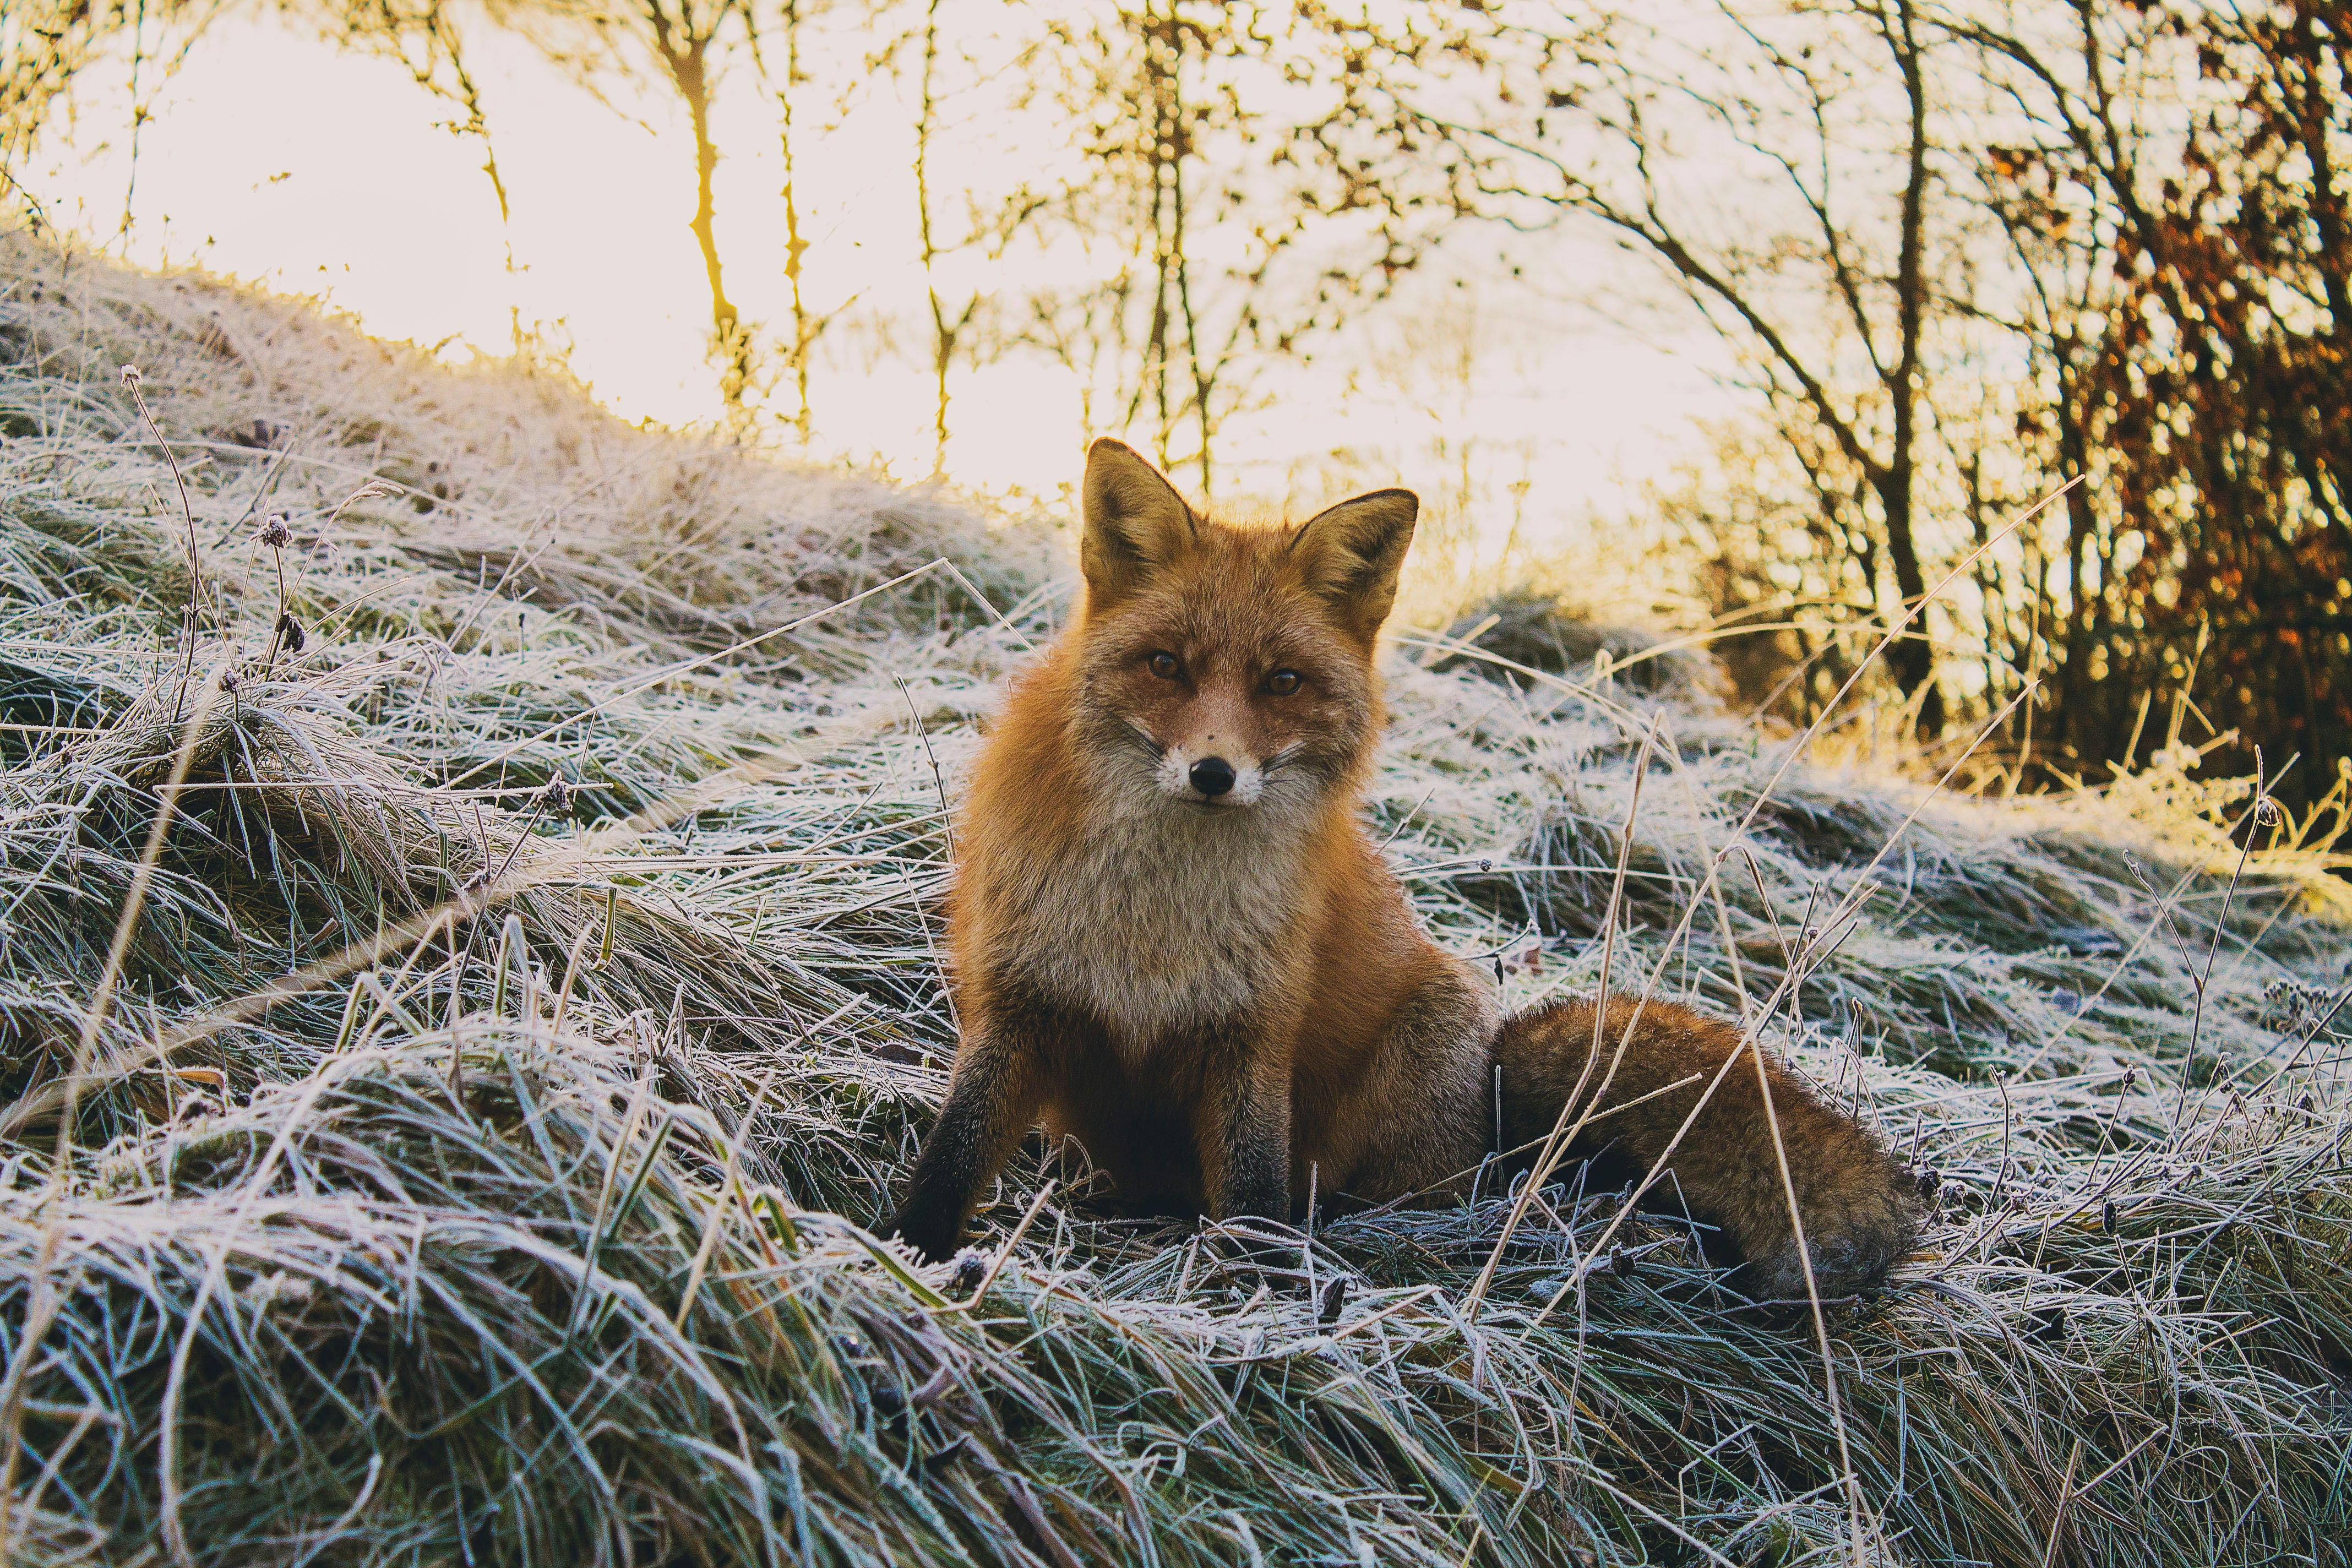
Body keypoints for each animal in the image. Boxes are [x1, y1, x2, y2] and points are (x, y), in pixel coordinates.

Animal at [886, 438, 1922, 1300]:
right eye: (1166, 665)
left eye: (1283, 682)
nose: (1214, 773)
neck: (1156, 914)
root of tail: (1493, 1106)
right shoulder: (1021, 1000)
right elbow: (953, 1151)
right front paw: (908, 1257)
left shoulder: (1251, 1034)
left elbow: (1254, 1193)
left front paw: (1260, 1293)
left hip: (1423, 1052)